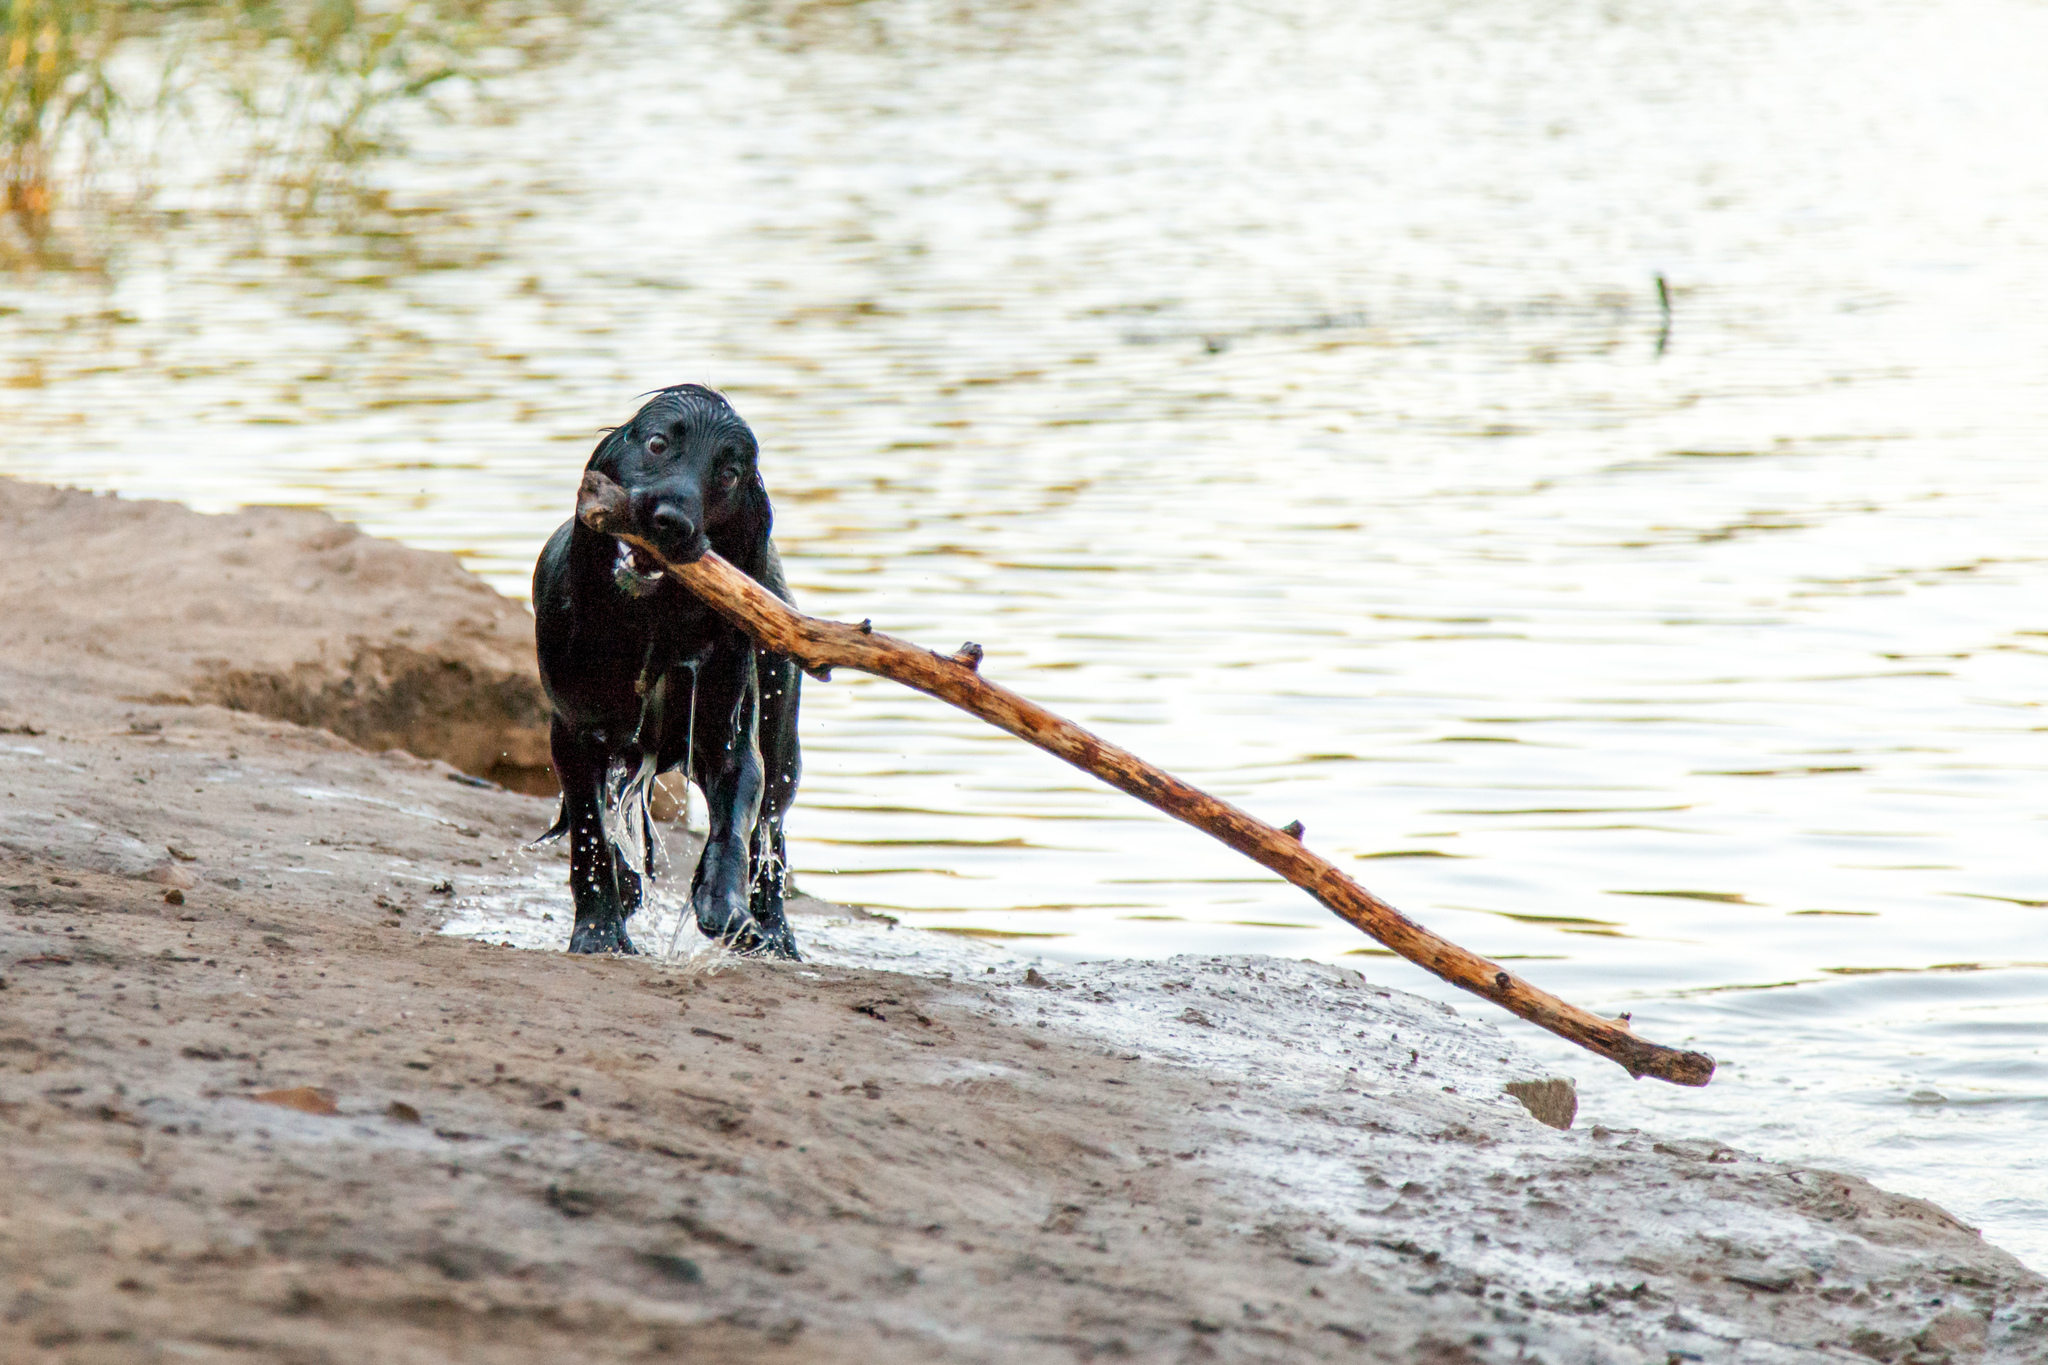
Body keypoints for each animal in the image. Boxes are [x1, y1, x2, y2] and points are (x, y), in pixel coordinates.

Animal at [532, 384, 802, 961]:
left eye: (730, 474)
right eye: (657, 444)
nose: (671, 521)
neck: (652, 621)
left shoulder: (730, 742)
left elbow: (733, 830)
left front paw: (726, 907)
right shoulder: (574, 733)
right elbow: (589, 834)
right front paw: (599, 932)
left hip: (782, 743)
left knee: (771, 831)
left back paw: (775, 934)